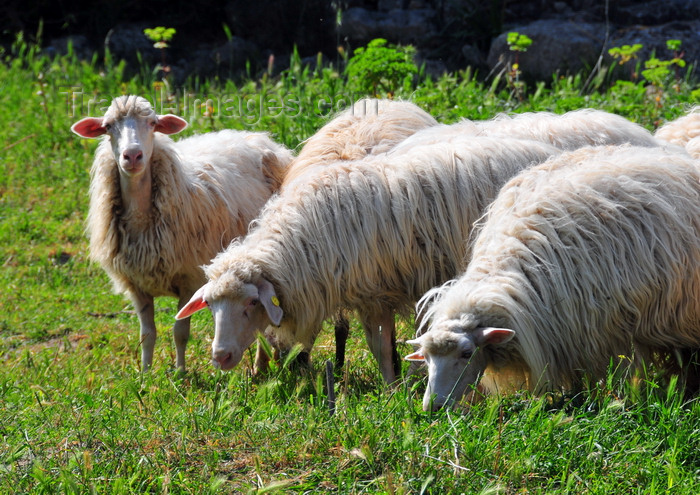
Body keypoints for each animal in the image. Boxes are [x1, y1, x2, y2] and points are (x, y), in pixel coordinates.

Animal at [69, 94, 292, 372]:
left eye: (153, 123)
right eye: (108, 126)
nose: (132, 155)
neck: (141, 218)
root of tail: (257, 136)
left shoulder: (188, 279)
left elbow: (180, 332)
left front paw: (180, 373)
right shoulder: (137, 286)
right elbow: (147, 334)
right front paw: (145, 373)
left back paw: (260, 365)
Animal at [178, 136, 560, 384]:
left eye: (249, 304)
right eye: (210, 305)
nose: (220, 357)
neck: (307, 239)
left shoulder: (376, 293)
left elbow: (379, 347)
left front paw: (391, 391)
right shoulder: (368, 294)